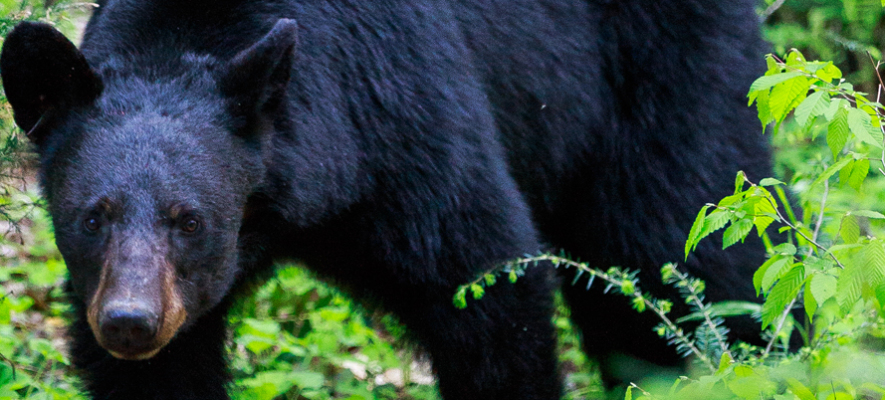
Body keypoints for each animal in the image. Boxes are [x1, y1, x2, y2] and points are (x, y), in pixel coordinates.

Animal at [0, 0, 772, 398]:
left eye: (189, 219)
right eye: (92, 215)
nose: (131, 322)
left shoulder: (404, 117)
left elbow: (486, 288)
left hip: (666, 77)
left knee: (683, 252)